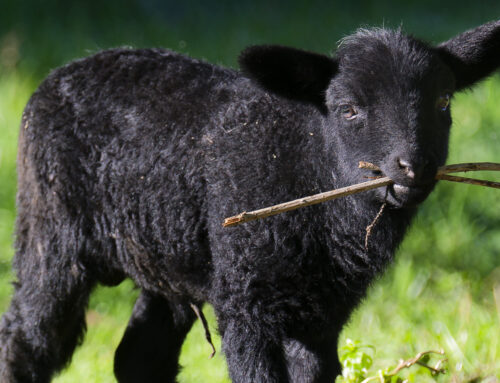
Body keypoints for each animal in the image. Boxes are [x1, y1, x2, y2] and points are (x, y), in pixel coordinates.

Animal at [0, 19, 498, 382]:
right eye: (349, 109)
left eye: (443, 101)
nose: (413, 167)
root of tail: (66, 70)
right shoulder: (245, 298)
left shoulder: (324, 311)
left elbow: (313, 372)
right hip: (51, 233)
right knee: (26, 341)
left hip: (169, 256)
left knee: (139, 357)